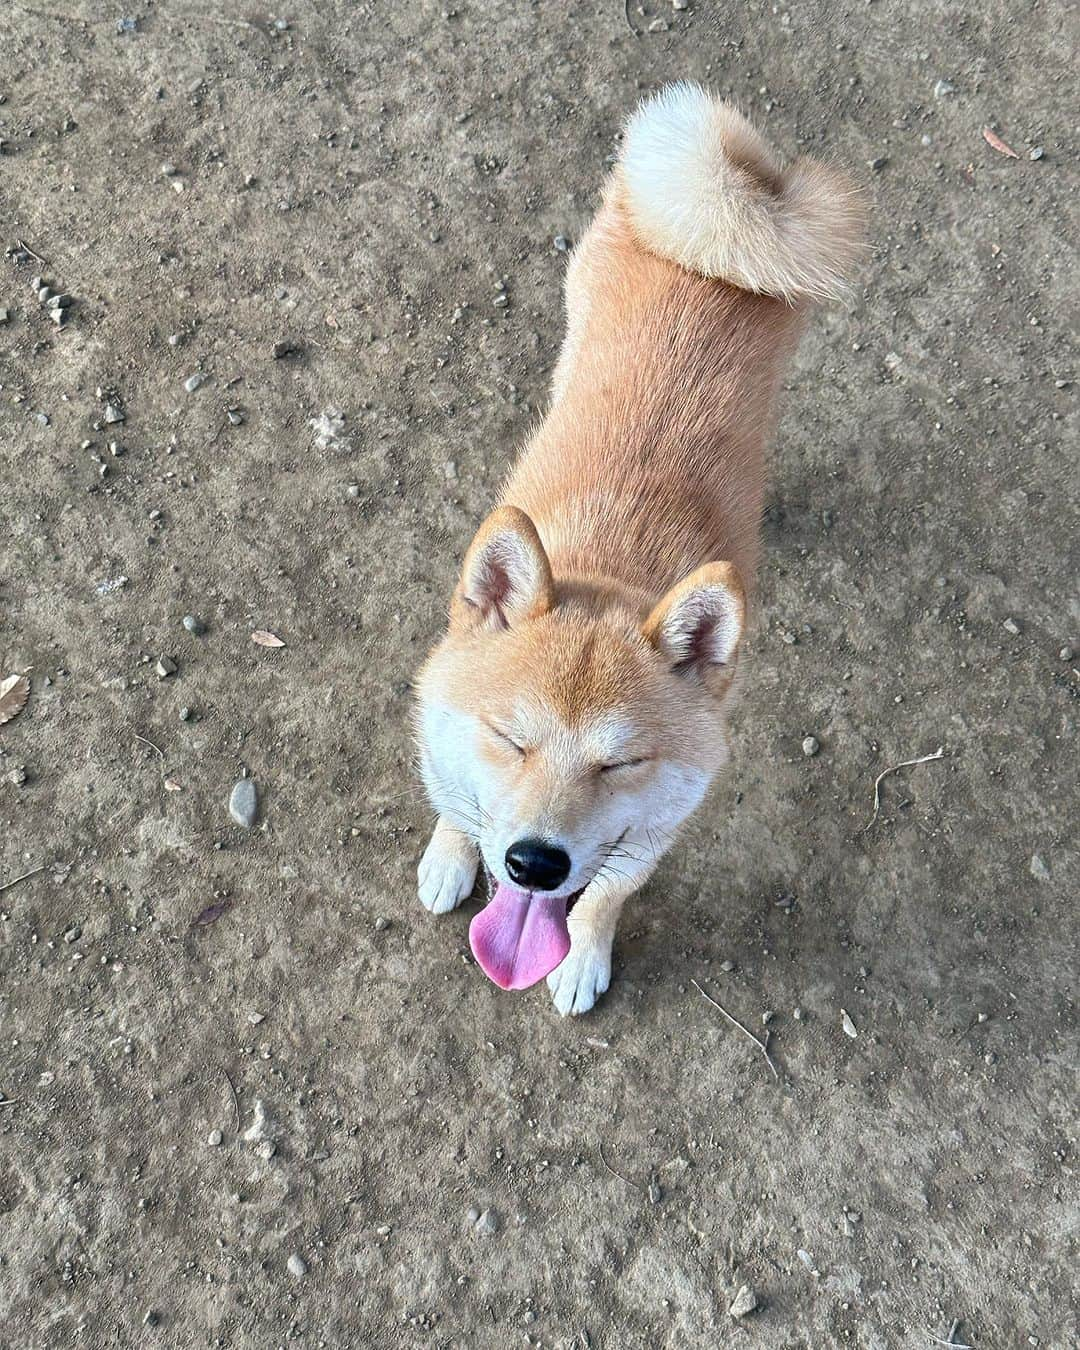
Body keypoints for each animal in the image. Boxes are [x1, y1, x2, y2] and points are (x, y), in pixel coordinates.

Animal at [410, 81, 858, 1015]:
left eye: (620, 763)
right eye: (510, 739)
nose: (535, 864)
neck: (613, 568)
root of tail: (722, 210)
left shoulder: (656, 831)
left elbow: (603, 899)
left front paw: (581, 956)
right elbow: (457, 805)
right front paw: (449, 854)